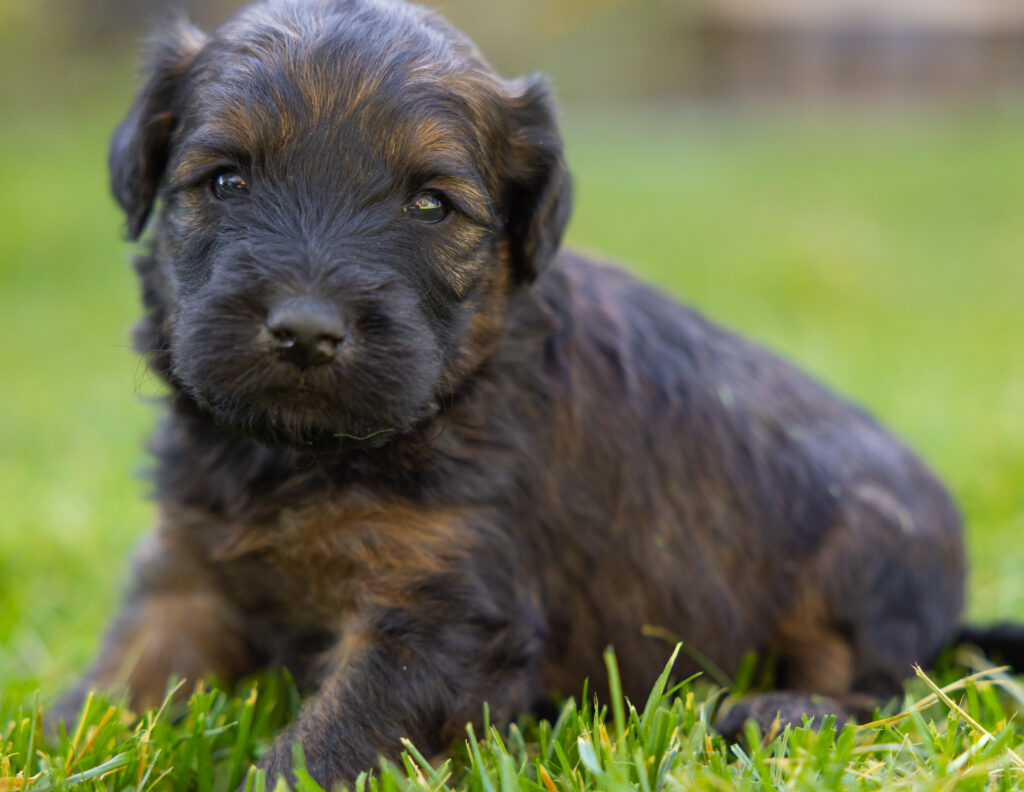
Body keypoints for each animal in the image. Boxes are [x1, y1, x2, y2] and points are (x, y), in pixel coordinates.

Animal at [58, 0, 1007, 786]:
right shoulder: (190, 572)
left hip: (864, 552)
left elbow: (332, 743)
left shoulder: (443, 615)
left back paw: (780, 711)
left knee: (875, 690)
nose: (305, 331)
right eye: (225, 179)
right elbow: (119, 683)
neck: (300, 458)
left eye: (431, 205)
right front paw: (66, 740)